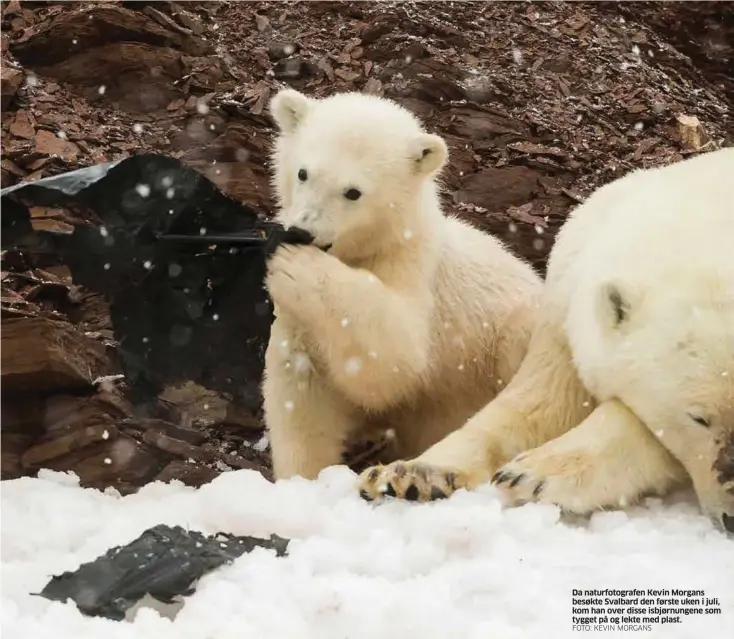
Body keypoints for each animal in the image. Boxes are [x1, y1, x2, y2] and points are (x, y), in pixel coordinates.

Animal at [262, 89, 544, 480]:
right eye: (303, 172)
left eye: (353, 192)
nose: (302, 231)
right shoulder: (297, 322)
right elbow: (302, 390)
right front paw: (302, 478)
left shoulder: (414, 269)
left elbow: (396, 356)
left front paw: (298, 265)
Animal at [360, 149, 734, 536]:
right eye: (698, 418)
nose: (732, 518)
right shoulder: (565, 300)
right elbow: (541, 402)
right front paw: (408, 475)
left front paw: (534, 475)